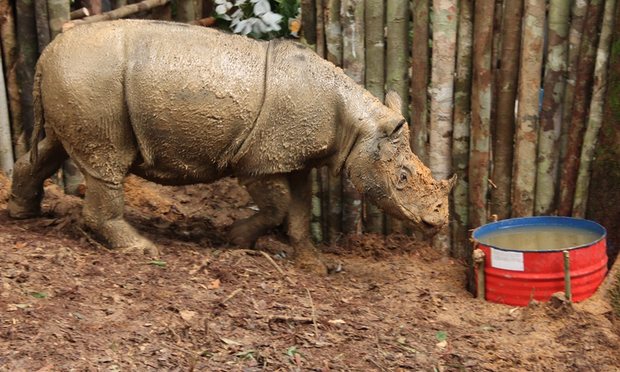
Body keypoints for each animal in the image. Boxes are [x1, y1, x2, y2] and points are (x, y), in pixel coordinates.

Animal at [7, 20, 456, 274]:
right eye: (402, 177)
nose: (438, 221)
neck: (360, 126)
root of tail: (46, 53)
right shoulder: (259, 160)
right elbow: (277, 207)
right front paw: (236, 240)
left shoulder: (294, 158)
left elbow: (297, 211)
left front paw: (315, 266)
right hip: (92, 79)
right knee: (105, 163)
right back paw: (141, 248)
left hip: (78, 80)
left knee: (50, 149)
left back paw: (22, 214)